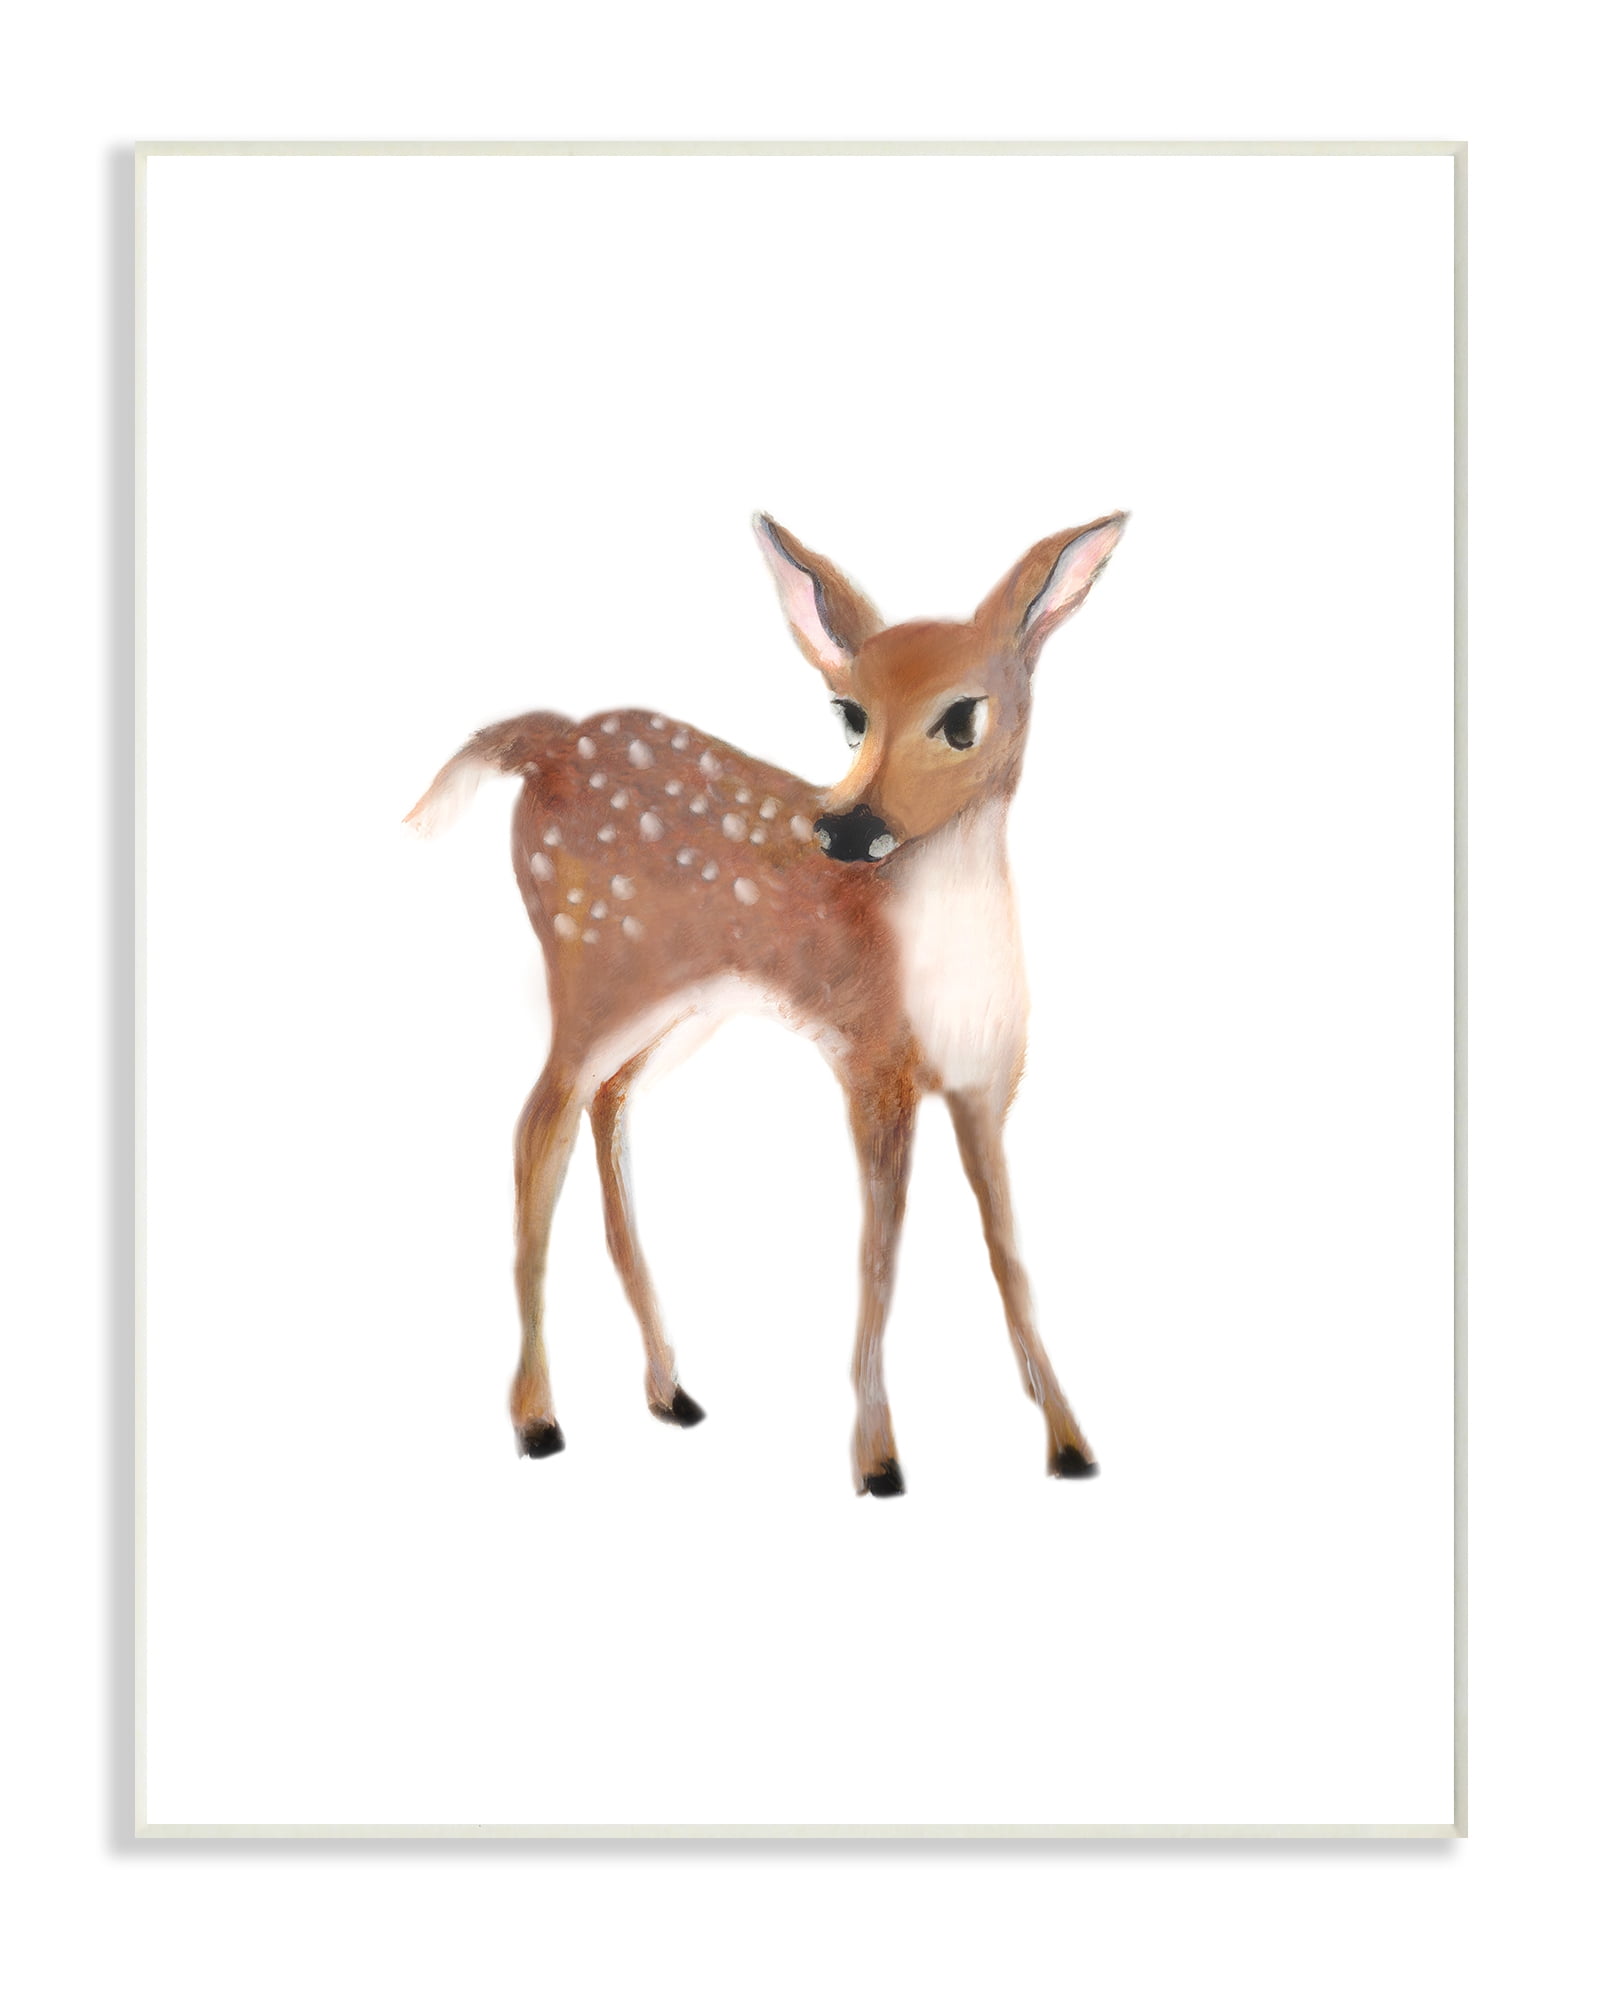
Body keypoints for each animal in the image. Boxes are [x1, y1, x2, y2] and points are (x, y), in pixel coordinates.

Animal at [406, 510, 1128, 1494]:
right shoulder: (872, 1064)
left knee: (604, 1105)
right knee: (536, 1127)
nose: (847, 829)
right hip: (593, 969)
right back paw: (538, 1419)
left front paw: (1069, 1443)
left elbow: (1010, 1255)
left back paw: (670, 1389)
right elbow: (878, 1255)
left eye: (962, 716)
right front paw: (877, 1460)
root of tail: (545, 741)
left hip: (681, 1006)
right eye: (849, 714)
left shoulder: (986, 1087)